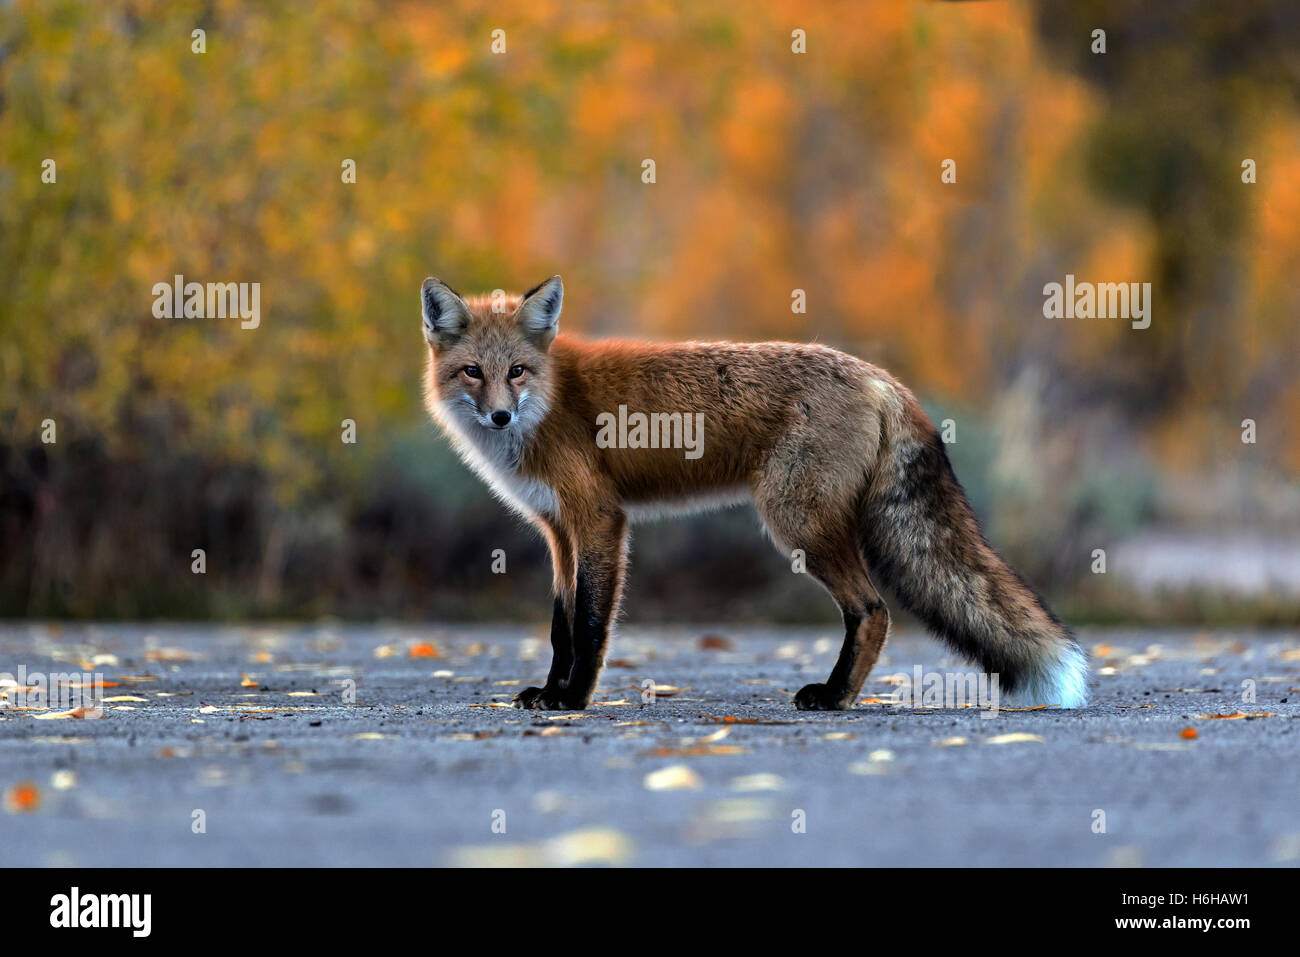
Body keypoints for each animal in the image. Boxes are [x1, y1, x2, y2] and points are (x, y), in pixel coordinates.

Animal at [420, 275, 1088, 712]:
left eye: (517, 372)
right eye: (473, 372)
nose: (500, 417)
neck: (551, 401)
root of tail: (883, 378)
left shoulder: (600, 519)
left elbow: (588, 624)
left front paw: (574, 700)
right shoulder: (559, 531)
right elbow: (560, 626)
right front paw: (551, 690)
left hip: (795, 522)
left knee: (872, 610)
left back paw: (835, 697)